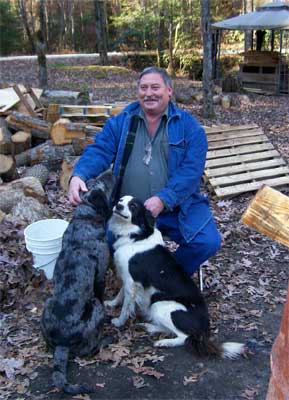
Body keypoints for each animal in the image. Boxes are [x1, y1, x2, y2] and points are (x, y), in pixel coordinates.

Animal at [40, 169, 115, 394]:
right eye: (102, 182)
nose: (111, 170)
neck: (84, 219)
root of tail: (62, 344)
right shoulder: (99, 277)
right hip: (95, 307)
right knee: (93, 347)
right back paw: (108, 338)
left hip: (47, 304)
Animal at [104, 196, 244, 360]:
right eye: (121, 200)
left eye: (133, 206)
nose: (118, 206)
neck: (136, 236)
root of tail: (204, 330)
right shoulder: (128, 278)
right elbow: (120, 295)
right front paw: (111, 303)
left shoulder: (132, 282)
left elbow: (126, 306)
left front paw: (119, 322)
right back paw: (148, 326)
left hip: (161, 304)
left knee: (184, 337)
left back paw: (163, 342)